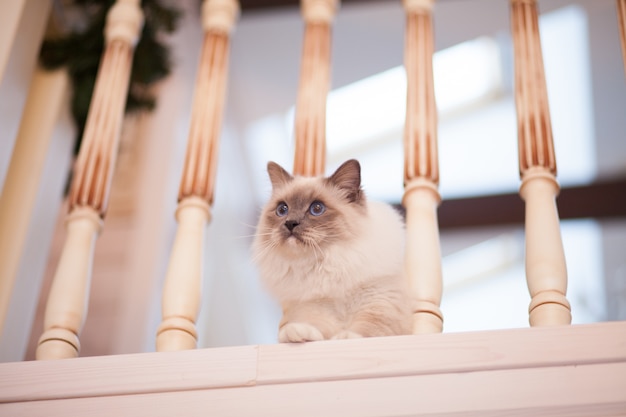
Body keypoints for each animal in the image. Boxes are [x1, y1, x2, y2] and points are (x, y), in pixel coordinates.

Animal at [251, 158, 412, 342]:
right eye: (282, 209)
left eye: (317, 208)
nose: (290, 223)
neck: (329, 261)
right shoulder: (314, 307)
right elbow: (313, 325)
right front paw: (297, 334)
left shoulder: (381, 304)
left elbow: (366, 328)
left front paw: (345, 337)